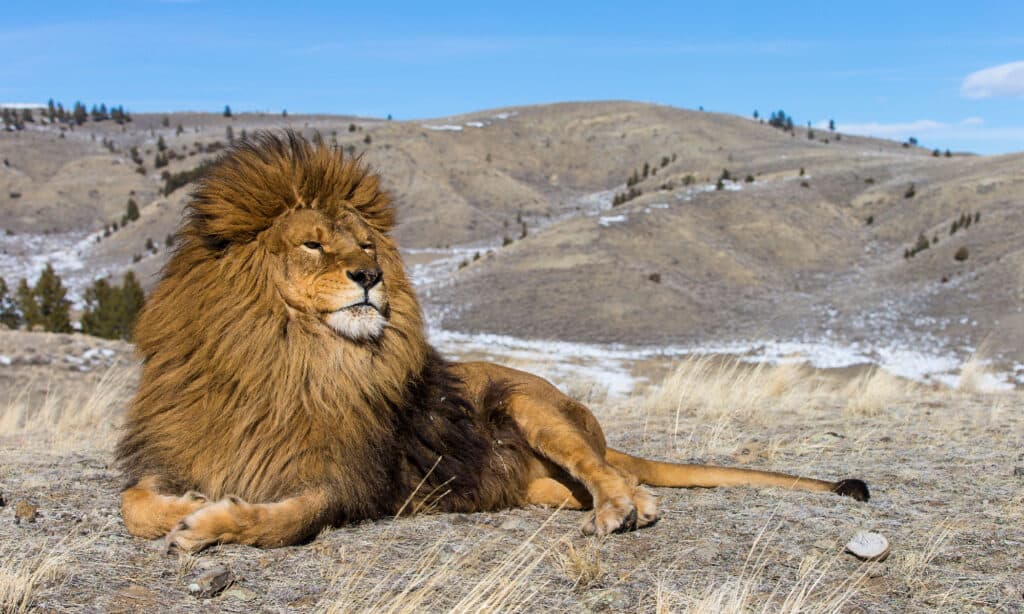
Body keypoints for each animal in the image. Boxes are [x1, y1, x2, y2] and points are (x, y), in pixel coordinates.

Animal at [117, 130, 872, 552]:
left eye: (366, 245)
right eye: (312, 243)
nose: (370, 276)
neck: (289, 355)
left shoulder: (350, 480)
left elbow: (284, 520)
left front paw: (207, 525)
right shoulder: (182, 445)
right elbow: (134, 504)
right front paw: (186, 507)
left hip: (530, 405)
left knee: (615, 476)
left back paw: (624, 511)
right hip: (535, 483)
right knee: (598, 480)